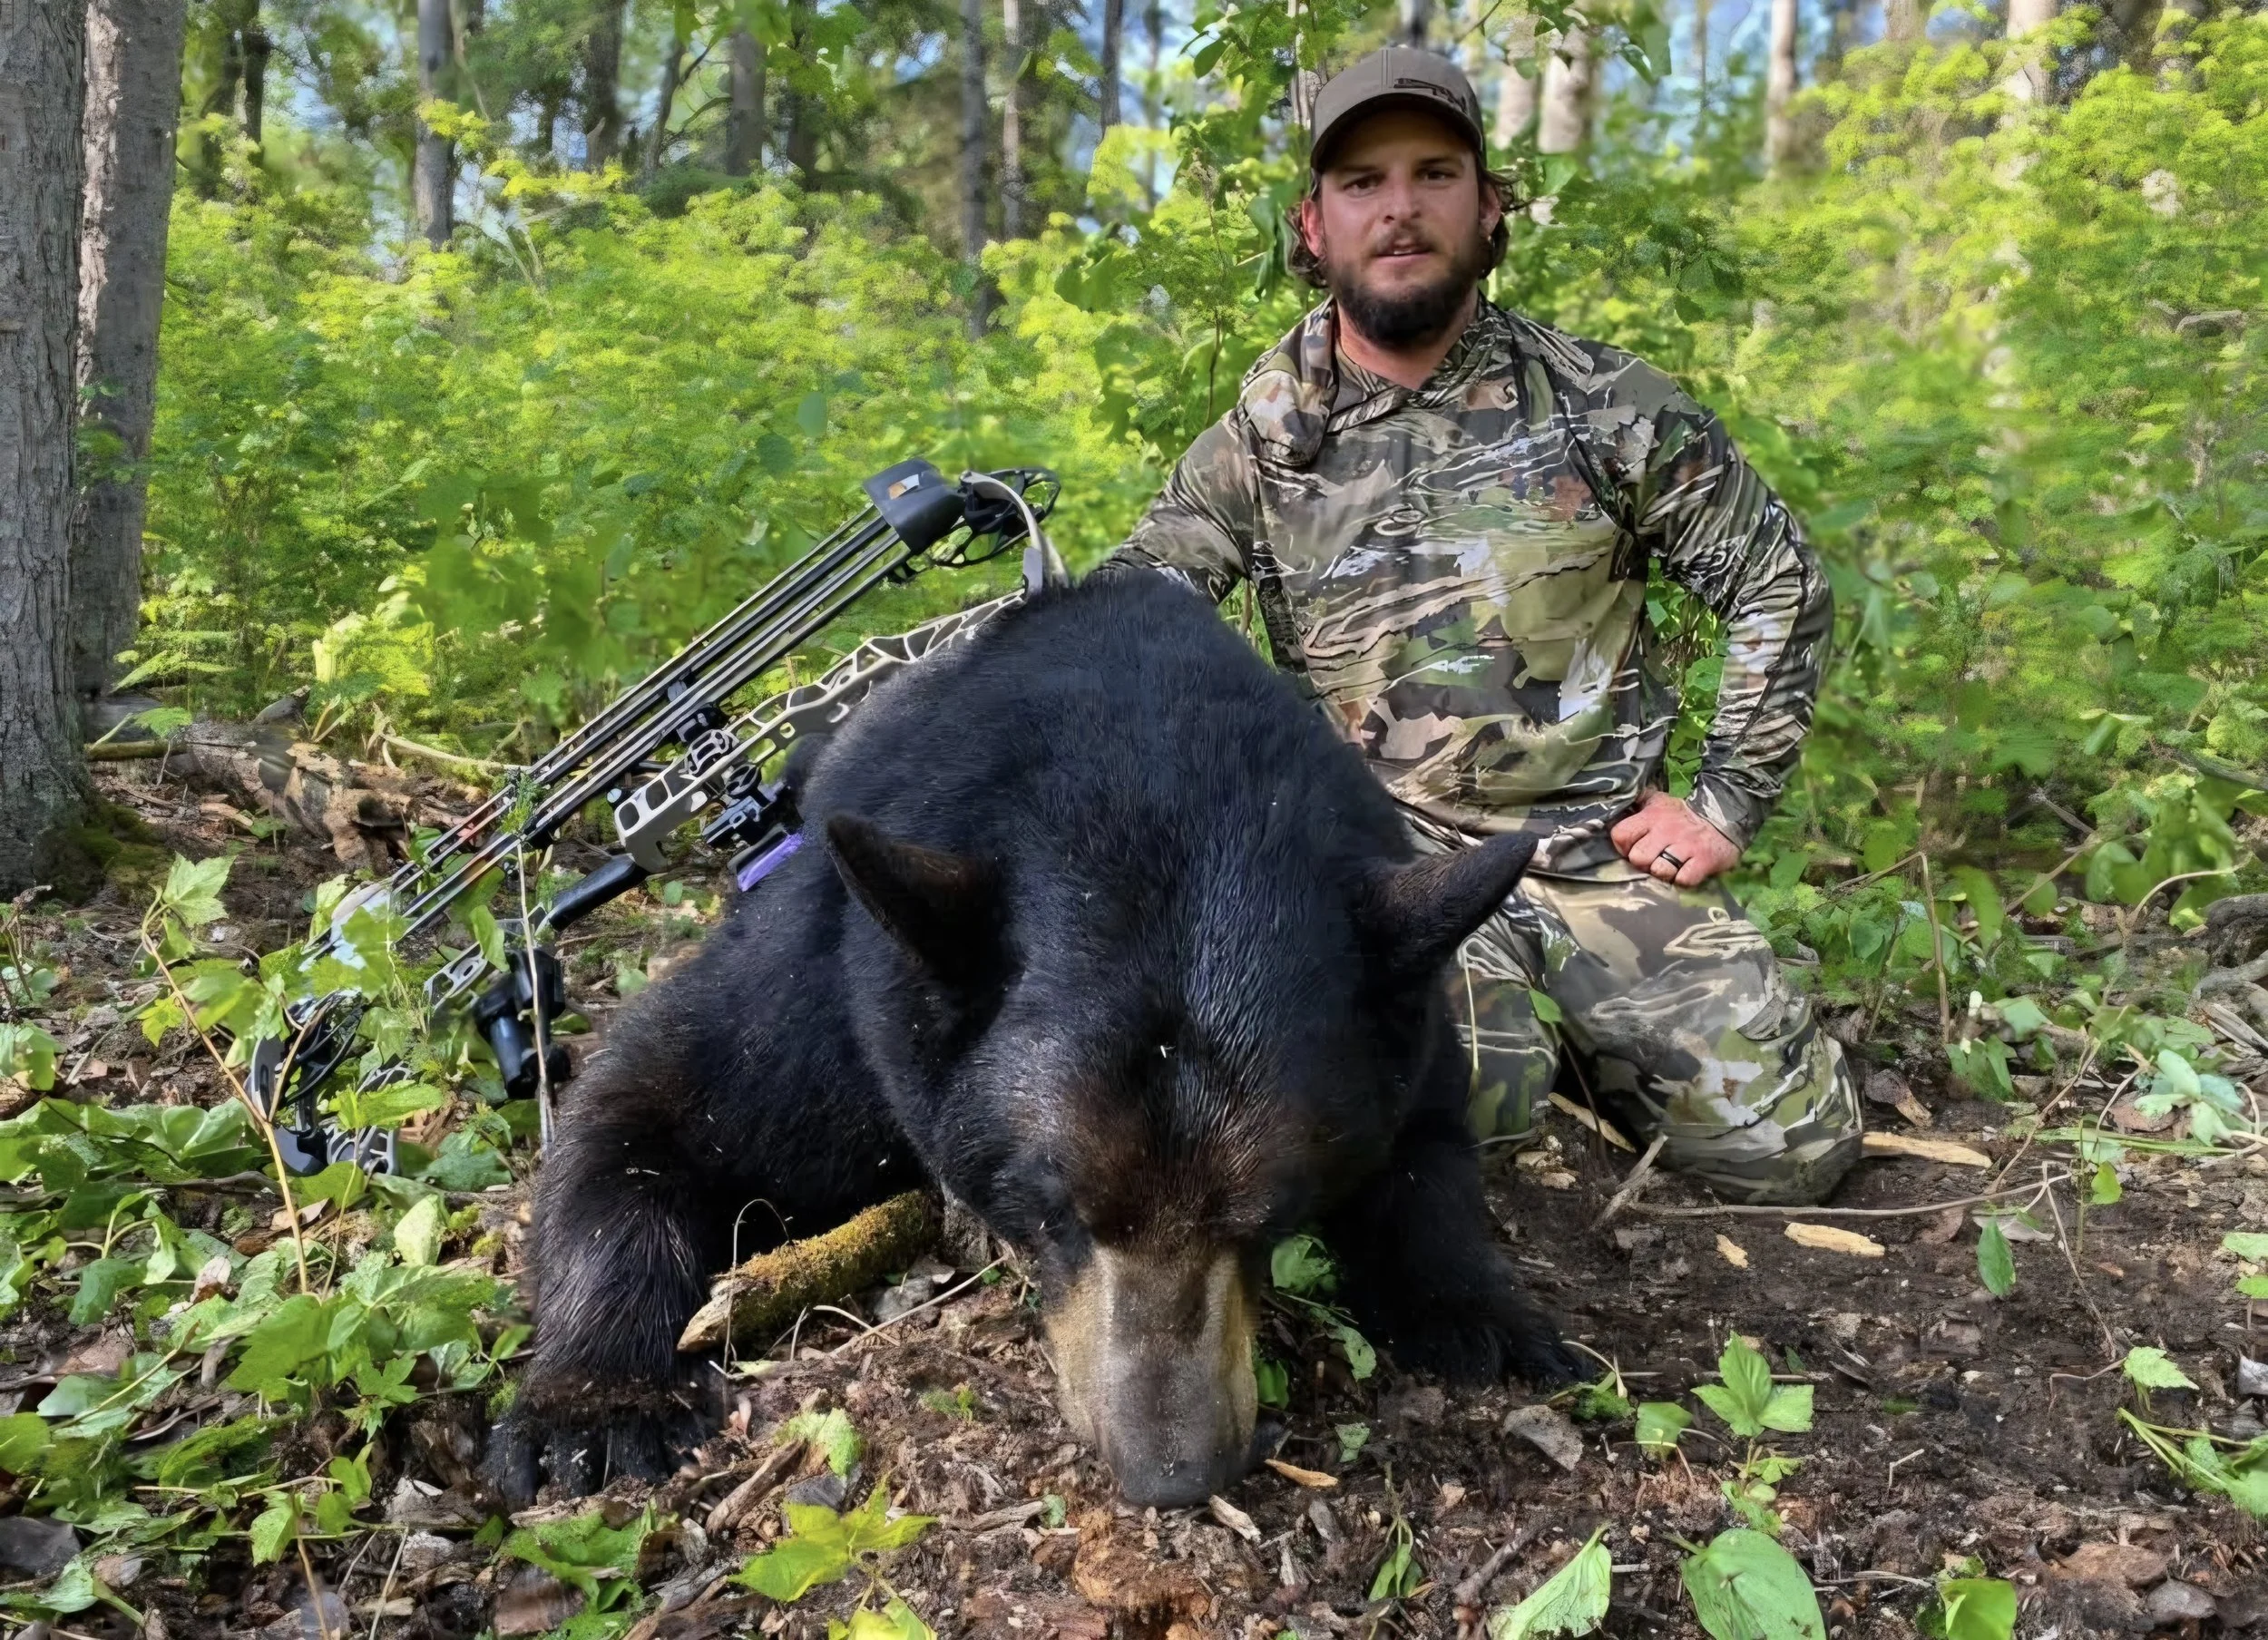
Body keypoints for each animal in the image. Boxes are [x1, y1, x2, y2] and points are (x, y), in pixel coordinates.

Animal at [489, 569, 1575, 1510]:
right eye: (1052, 1208)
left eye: (1271, 1213)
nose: (1173, 1472)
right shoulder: (842, 993)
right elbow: (645, 1100)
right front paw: (595, 1401)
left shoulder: (1397, 1000)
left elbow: (1430, 1146)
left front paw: (1481, 1309)